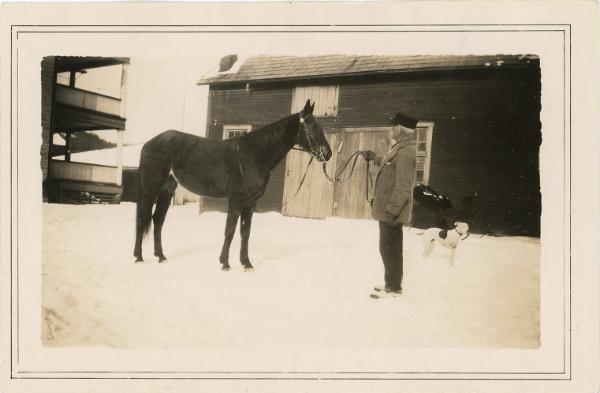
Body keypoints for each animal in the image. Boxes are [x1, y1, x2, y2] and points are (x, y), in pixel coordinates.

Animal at [134, 99, 332, 268]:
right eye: (310, 127)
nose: (327, 153)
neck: (254, 154)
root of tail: (148, 144)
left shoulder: (251, 203)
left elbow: (245, 232)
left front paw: (246, 264)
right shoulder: (236, 199)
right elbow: (230, 230)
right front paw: (225, 263)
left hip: (166, 191)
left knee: (158, 220)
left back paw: (161, 256)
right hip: (151, 190)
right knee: (143, 218)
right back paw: (138, 257)